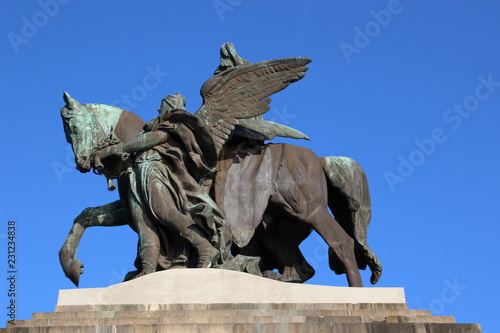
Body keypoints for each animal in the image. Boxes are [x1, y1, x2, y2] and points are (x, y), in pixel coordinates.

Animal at [58, 92, 380, 286]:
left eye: (72, 128)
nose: (82, 163)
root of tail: (320, 158)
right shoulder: (128, 206)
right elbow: (86, 216)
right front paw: (72, 266)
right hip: (275, 228)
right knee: (301, 268)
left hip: (308, 210)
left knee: (342, 243)